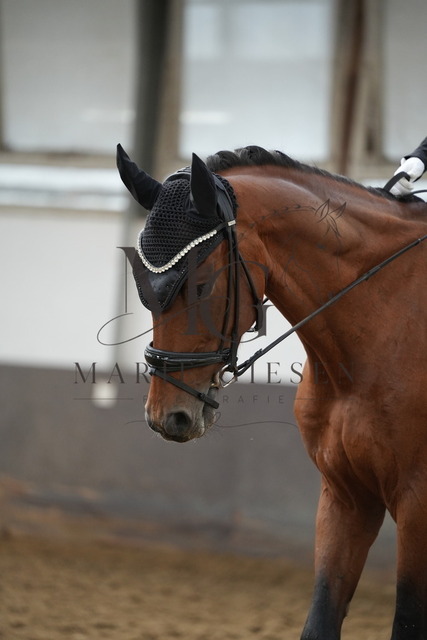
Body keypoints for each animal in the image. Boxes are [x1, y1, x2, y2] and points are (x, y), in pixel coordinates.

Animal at [116, 143, 427, 639]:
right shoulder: (346, 496)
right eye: (143, 291)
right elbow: (320, 618)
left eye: (201, 284)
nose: (168, 418)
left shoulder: (418, 505)